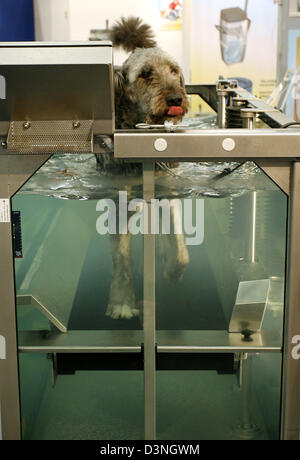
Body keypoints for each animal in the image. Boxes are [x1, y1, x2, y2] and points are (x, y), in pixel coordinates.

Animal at [99, 18, 191, 320]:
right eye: (145, 74)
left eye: (174, 70)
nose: (176, 98)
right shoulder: (119, 200)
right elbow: (121, 255)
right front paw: (121, 300)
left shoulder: (169, 189)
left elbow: (180, 248)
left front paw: (172, 269)